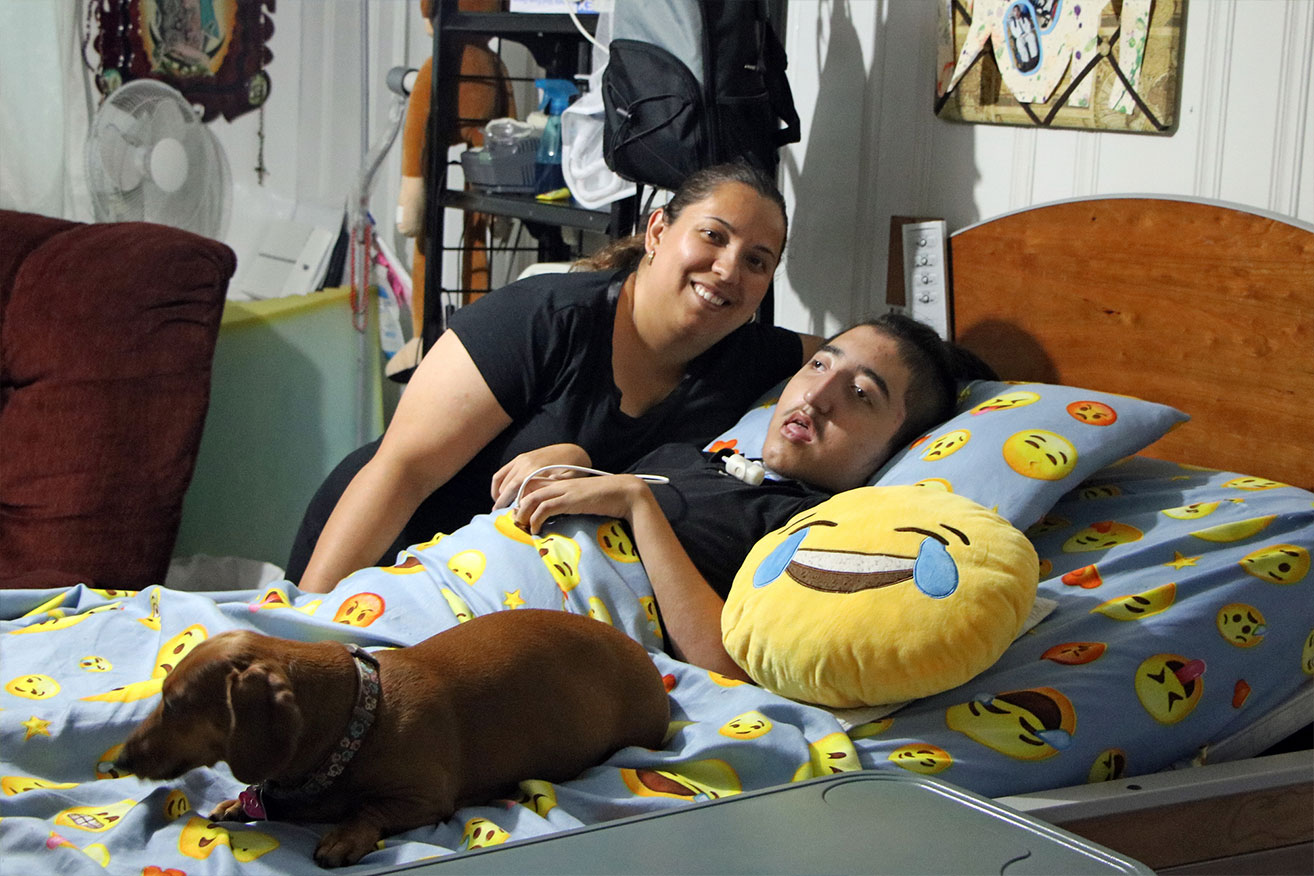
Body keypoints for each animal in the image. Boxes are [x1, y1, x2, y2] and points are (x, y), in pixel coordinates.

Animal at [115, 609, 667, 872]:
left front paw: (343, 837)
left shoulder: (424, 799)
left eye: (174, 703)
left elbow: (370, 809)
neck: (361, 719)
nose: (118, 761)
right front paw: (236, 803)